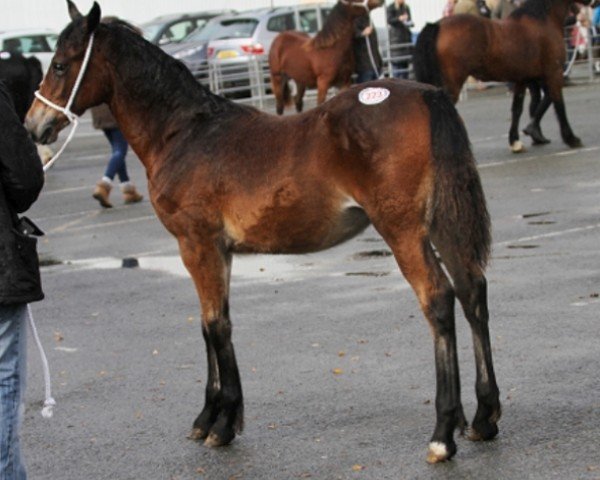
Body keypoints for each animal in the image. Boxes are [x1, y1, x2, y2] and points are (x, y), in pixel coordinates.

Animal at [25, 0, 500, 464]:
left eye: (61, 65)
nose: (34, 126)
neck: (184, 133)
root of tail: (427, 95)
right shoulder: (218, 249)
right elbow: (212, 324)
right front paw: (209, 417)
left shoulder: (196, 244)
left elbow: (215, 325)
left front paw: (221, 426)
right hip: (440, 224)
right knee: (472, 291)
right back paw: (483, 418)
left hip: (401, 229)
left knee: (438, 299)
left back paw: (442, 435)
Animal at [414, 0, 588, 152]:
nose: (588, 5)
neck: (542, 22)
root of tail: (437, 25)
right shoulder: (554, 74)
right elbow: (558, 104)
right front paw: (571, 138)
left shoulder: (524, 79)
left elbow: (518, 108)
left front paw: (517, 140)